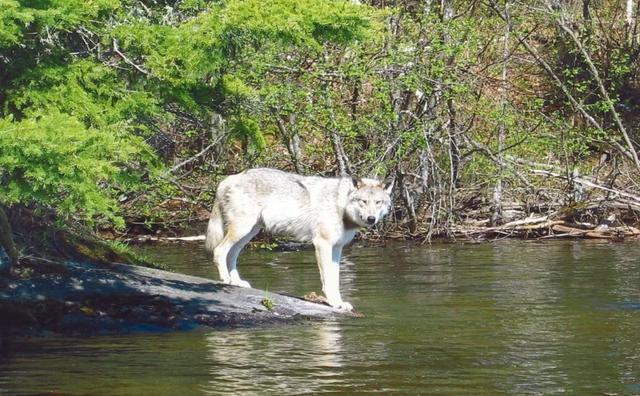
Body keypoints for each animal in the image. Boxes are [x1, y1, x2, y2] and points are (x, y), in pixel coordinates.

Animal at [208, 167, 392, 310]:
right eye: (363, 201)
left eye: (378, 202)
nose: (371, 219)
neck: (340, 206)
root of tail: (227, 179)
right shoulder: (322, 244)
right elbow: (328, 280)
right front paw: (333, 303)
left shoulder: (337, 248)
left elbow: (336, 280)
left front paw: (340, 303)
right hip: (242, 229)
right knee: (219, 251)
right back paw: (226, 279)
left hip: (248, 233)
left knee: (231, 255)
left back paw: (236, 282)